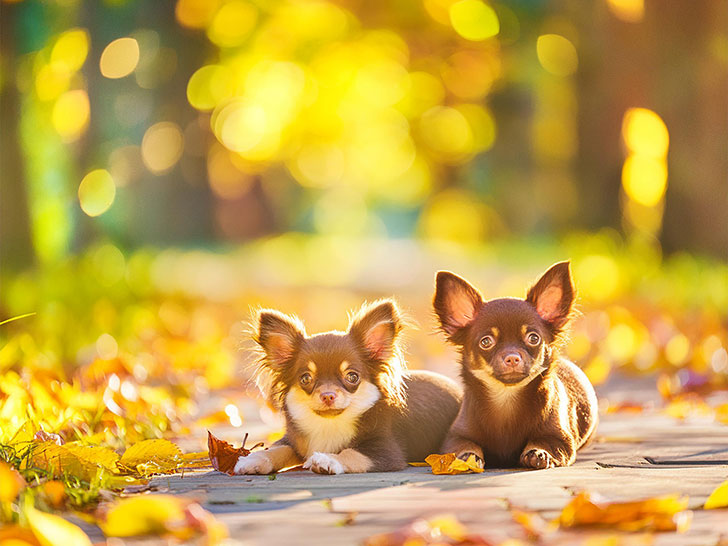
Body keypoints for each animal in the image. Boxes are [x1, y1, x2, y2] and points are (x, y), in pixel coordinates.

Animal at [233, 298, 460, 472]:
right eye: (305, 379)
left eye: (352, 377)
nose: (328, 395)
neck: (330, 425)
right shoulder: (293, 441)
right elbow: (277, 448)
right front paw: (254, 459)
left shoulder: (386, 452)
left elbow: (352, 452)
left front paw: (328, 459)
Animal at [432, 260, 596, 468]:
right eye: (486, 342)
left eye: (533, 338)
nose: (512, 357)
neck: (506, 397)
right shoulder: (456, 436)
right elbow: (463, 445)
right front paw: (467, 457)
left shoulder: (560, 438)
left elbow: (546, 442)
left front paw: (539, 453)